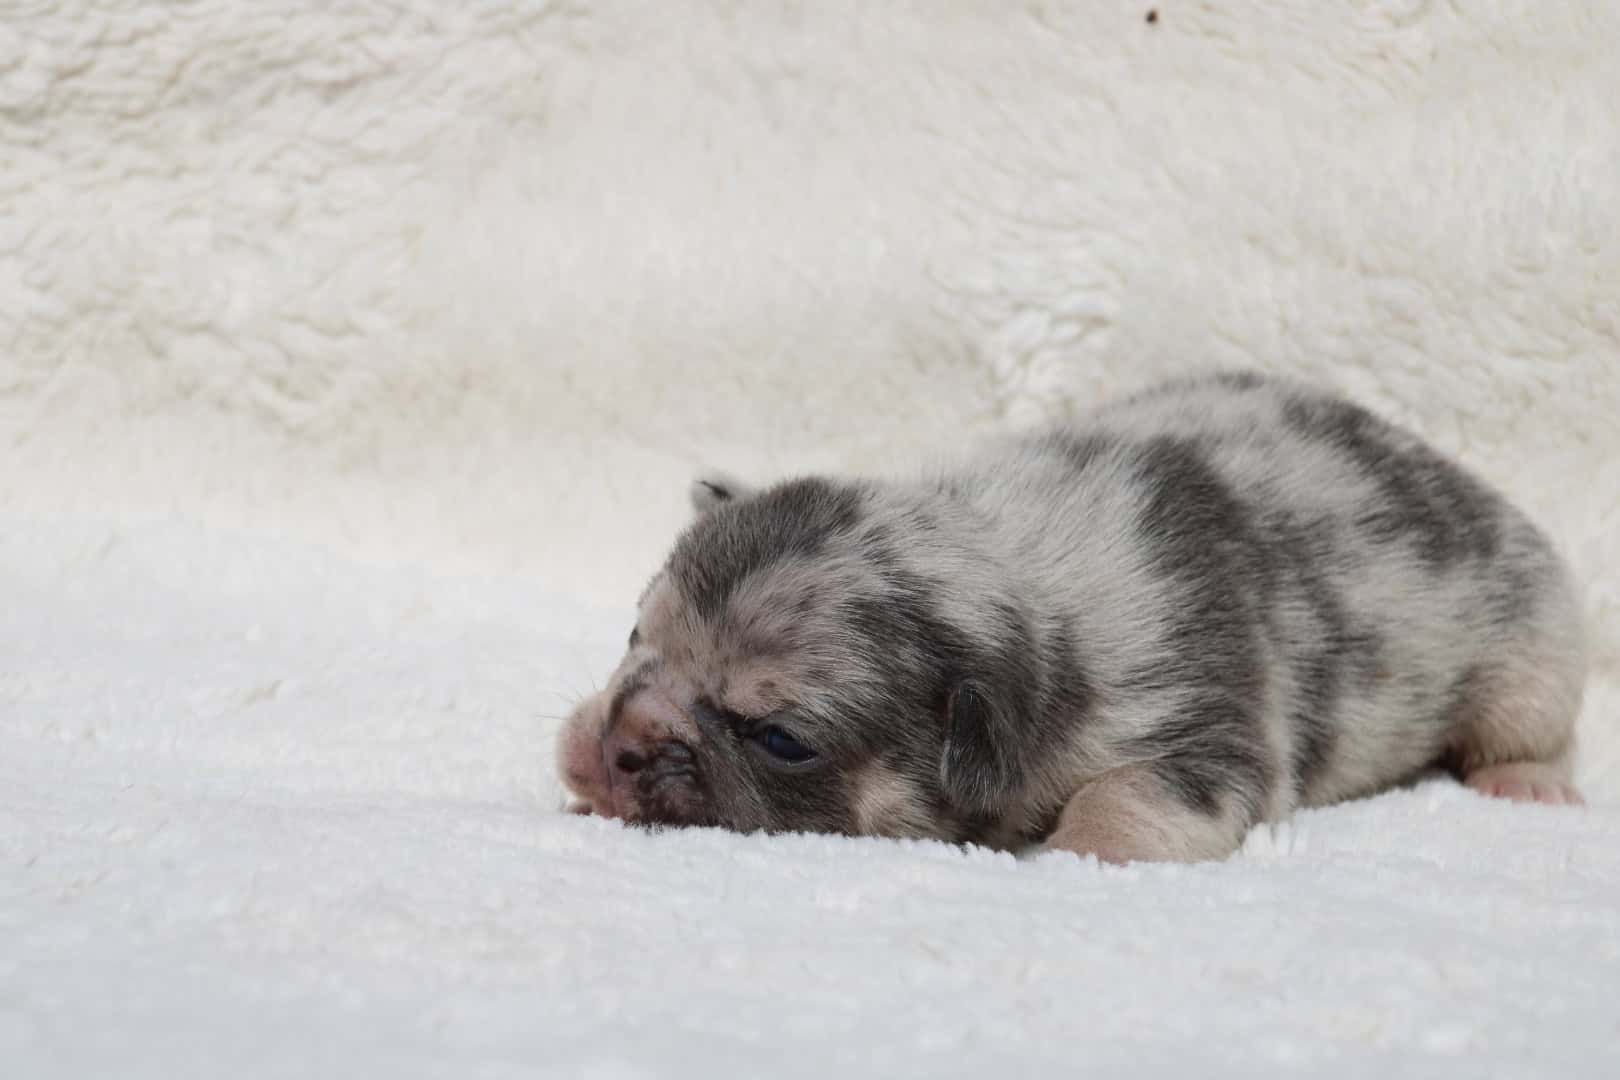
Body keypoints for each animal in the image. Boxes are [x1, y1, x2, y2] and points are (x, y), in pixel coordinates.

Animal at [554, 372, 1581, 861]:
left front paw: (1083, 855)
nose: (618, 741)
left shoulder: (1206, 732)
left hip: (1530, 648)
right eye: (635, 639)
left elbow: (1124, 797)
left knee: (1533, 728)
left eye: (780, 739)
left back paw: (1526, 784)